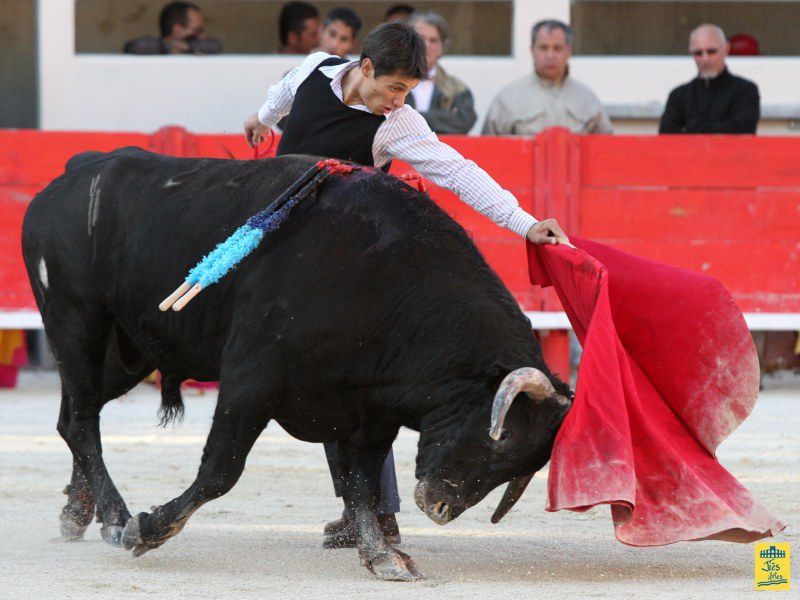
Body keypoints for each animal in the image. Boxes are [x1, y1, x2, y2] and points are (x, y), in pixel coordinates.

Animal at [18, 149, 568, 580]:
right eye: (502, 437)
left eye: (522, 464)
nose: (439, 507)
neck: (387, 283)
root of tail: (76, 171)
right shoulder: (250, 378)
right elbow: (222, 469)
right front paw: (147, 529)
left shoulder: (371, 409)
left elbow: (363, 483)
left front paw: (382, 557)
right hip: (77, 323)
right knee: (83, 421)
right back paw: (115, 518)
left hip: (127, 352)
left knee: (74, 417)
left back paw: (77, 513)